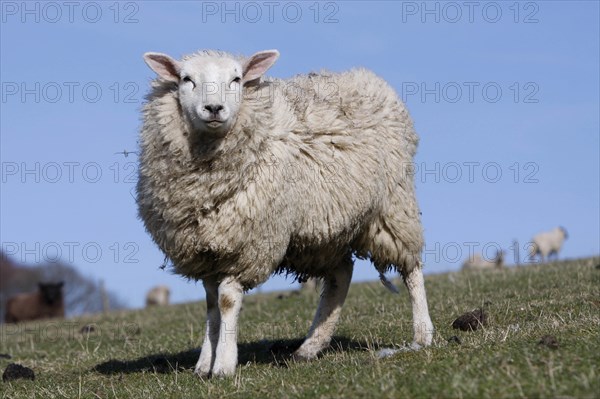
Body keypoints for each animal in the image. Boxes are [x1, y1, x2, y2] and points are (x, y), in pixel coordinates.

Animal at [138, 48, 434, 376]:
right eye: (186, 79)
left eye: (237, 79)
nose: (214, 108)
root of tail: (367, 77)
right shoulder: (207, 251)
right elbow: (211, 305)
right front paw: (204, 364)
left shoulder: (246, 246)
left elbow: (226, 301)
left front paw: (224, 365)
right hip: (325, 229)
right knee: (340, 276)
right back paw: (310, 347)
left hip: (393, 208)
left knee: (411, 268)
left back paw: (423, 334)